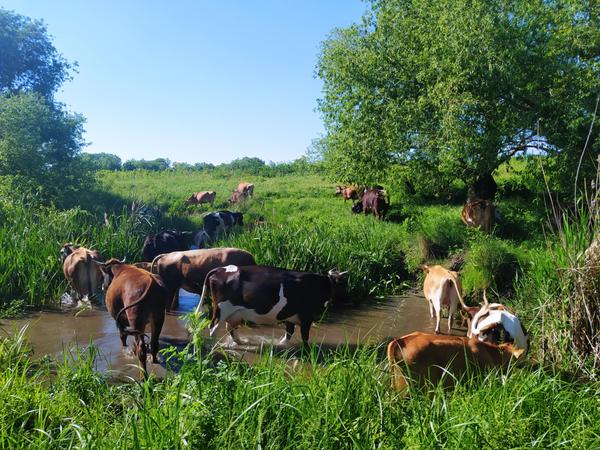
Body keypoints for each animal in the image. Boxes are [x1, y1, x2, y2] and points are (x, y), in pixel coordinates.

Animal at [195, 266, 350, 346]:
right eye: (343, 284)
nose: (348, 300)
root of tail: (221, 268)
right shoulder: (306, 316)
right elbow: (305, 336)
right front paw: (307, 351)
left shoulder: (289, 314)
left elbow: (289, 332)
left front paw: (281, 345)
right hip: (221, 310)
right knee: (213, 328)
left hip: (234, 313)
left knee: (230, 327)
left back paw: (240, 342)